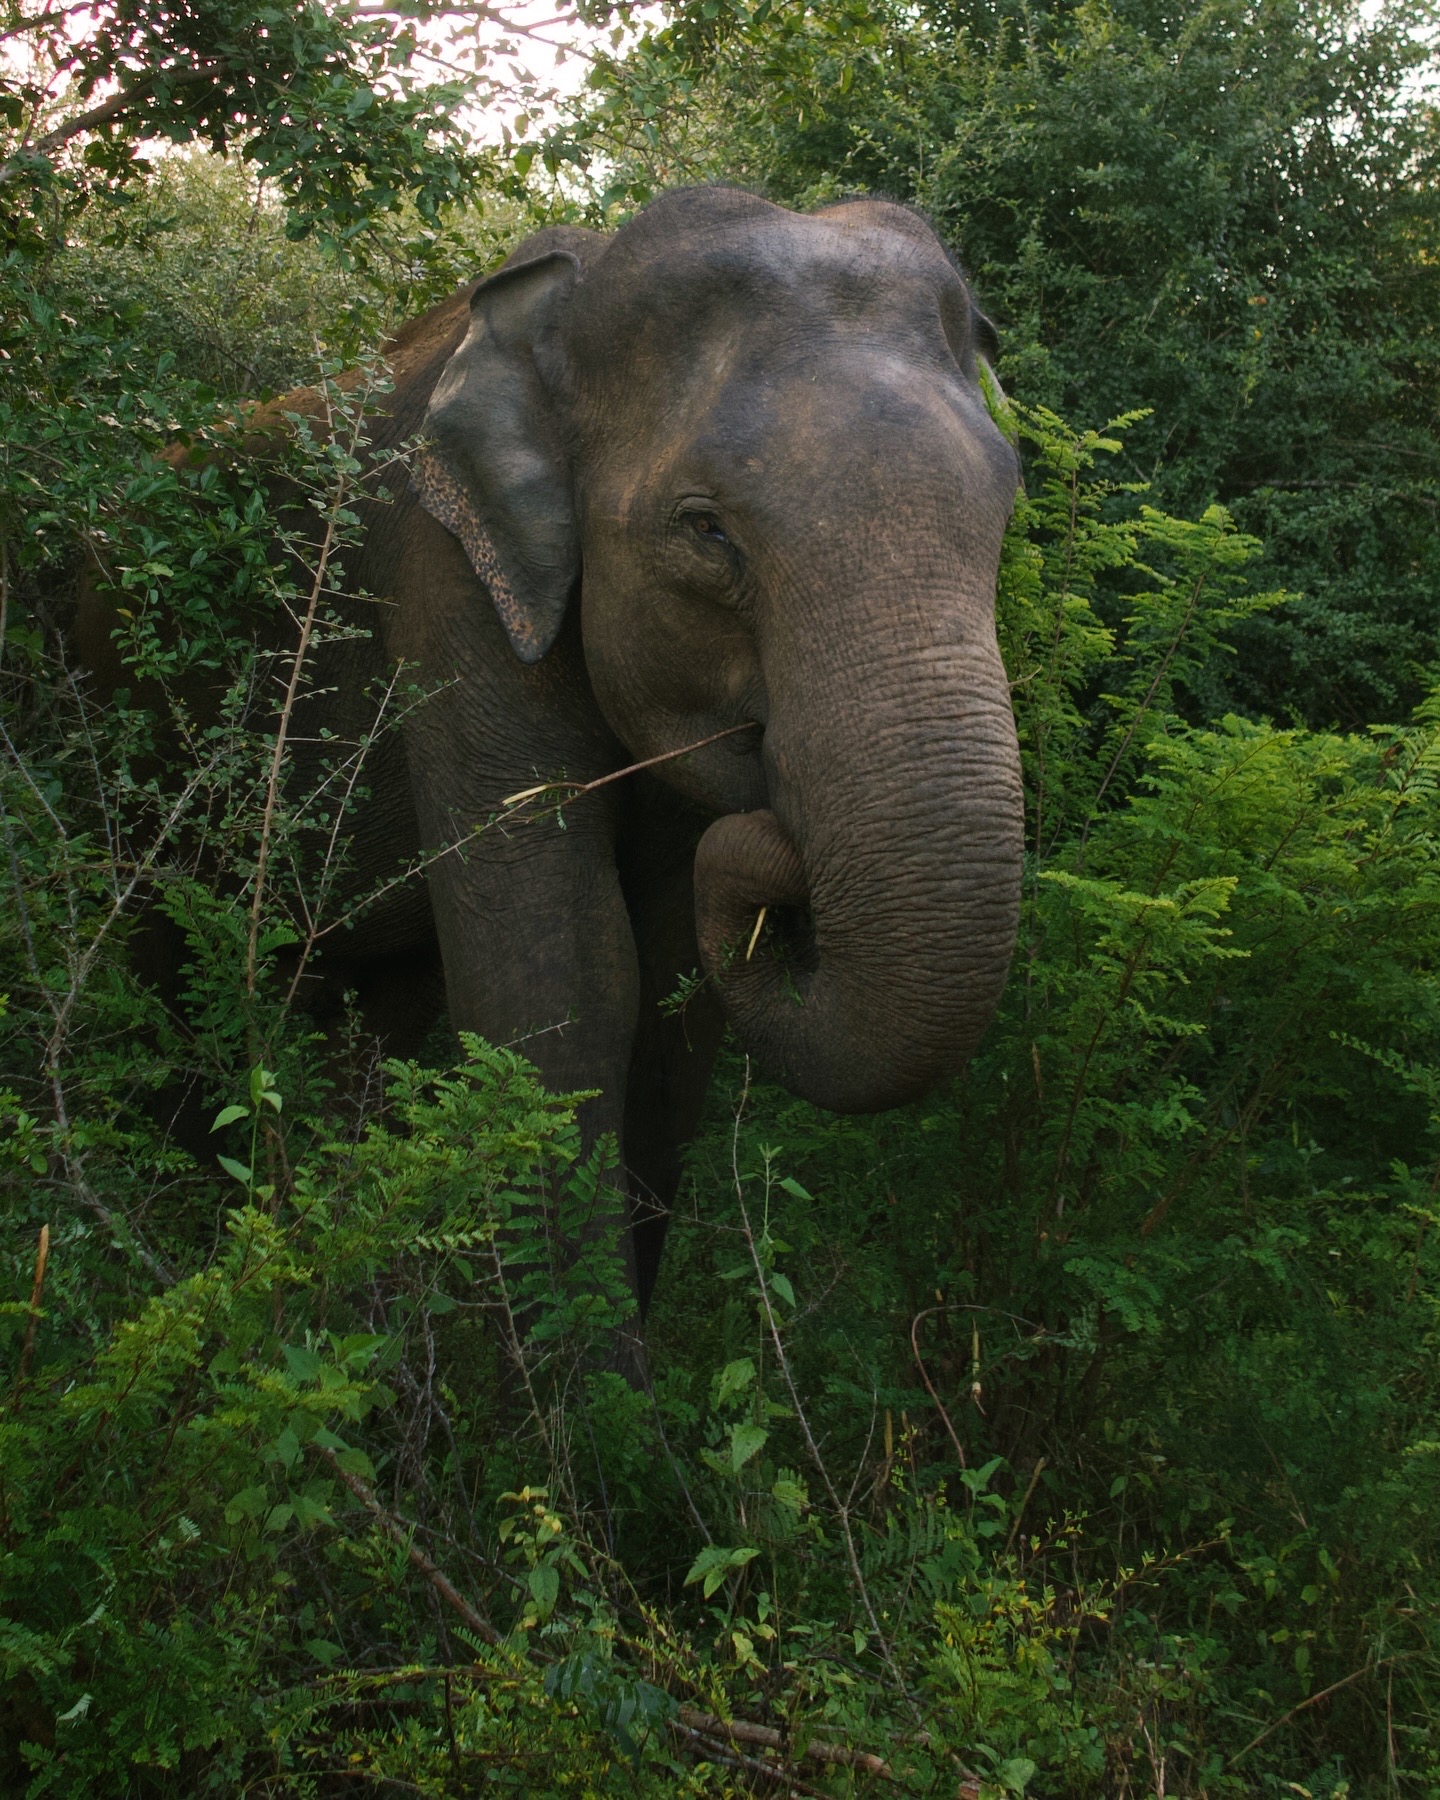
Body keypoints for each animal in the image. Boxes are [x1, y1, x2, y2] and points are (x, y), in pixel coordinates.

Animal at [78, 185, 1025, 1323]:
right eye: (707, 531)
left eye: (1008, 505)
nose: (779, 848)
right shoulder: (445, 583)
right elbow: (553, 987)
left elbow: (671, 1002)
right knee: (163, 966)